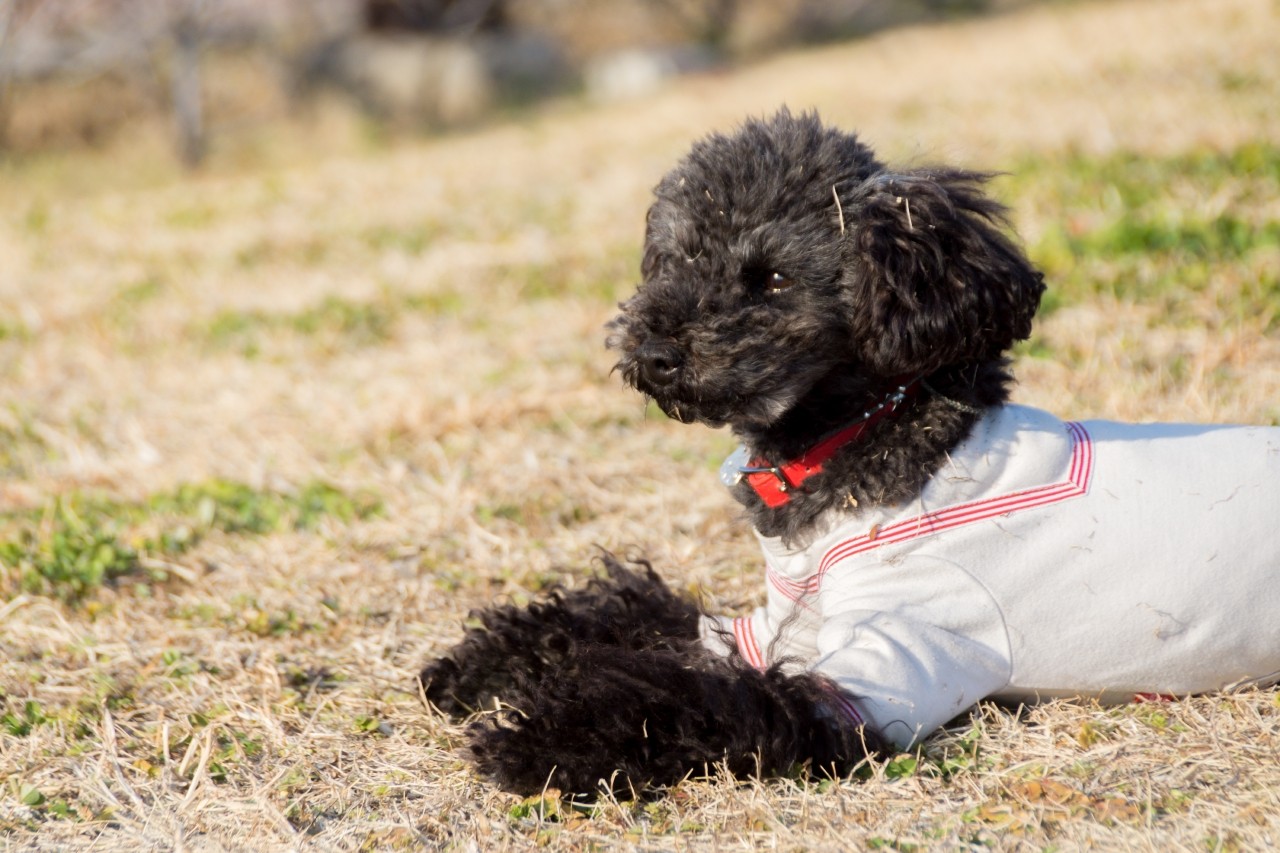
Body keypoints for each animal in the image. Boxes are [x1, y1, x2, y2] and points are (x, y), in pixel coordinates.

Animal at [420, 109, 1280, 797]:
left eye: (770, 279)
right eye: (676, 258)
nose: (655, 351)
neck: (849, 451)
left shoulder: (884, 674)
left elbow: (708, 702)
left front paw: (535, 737)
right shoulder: (772, 627)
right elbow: (629, 615)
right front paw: (480, 665)